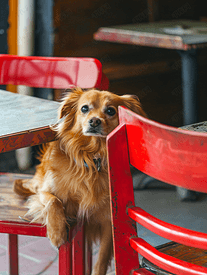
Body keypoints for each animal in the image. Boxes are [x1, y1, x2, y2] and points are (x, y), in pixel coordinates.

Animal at [13, 88, 146, 275]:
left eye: (110, 110)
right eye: (84, 108)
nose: (94, 121)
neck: (91, 158)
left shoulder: (108, 219)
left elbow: (101, 259)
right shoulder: (44, 191)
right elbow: (54, 201)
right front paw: (57, 234)